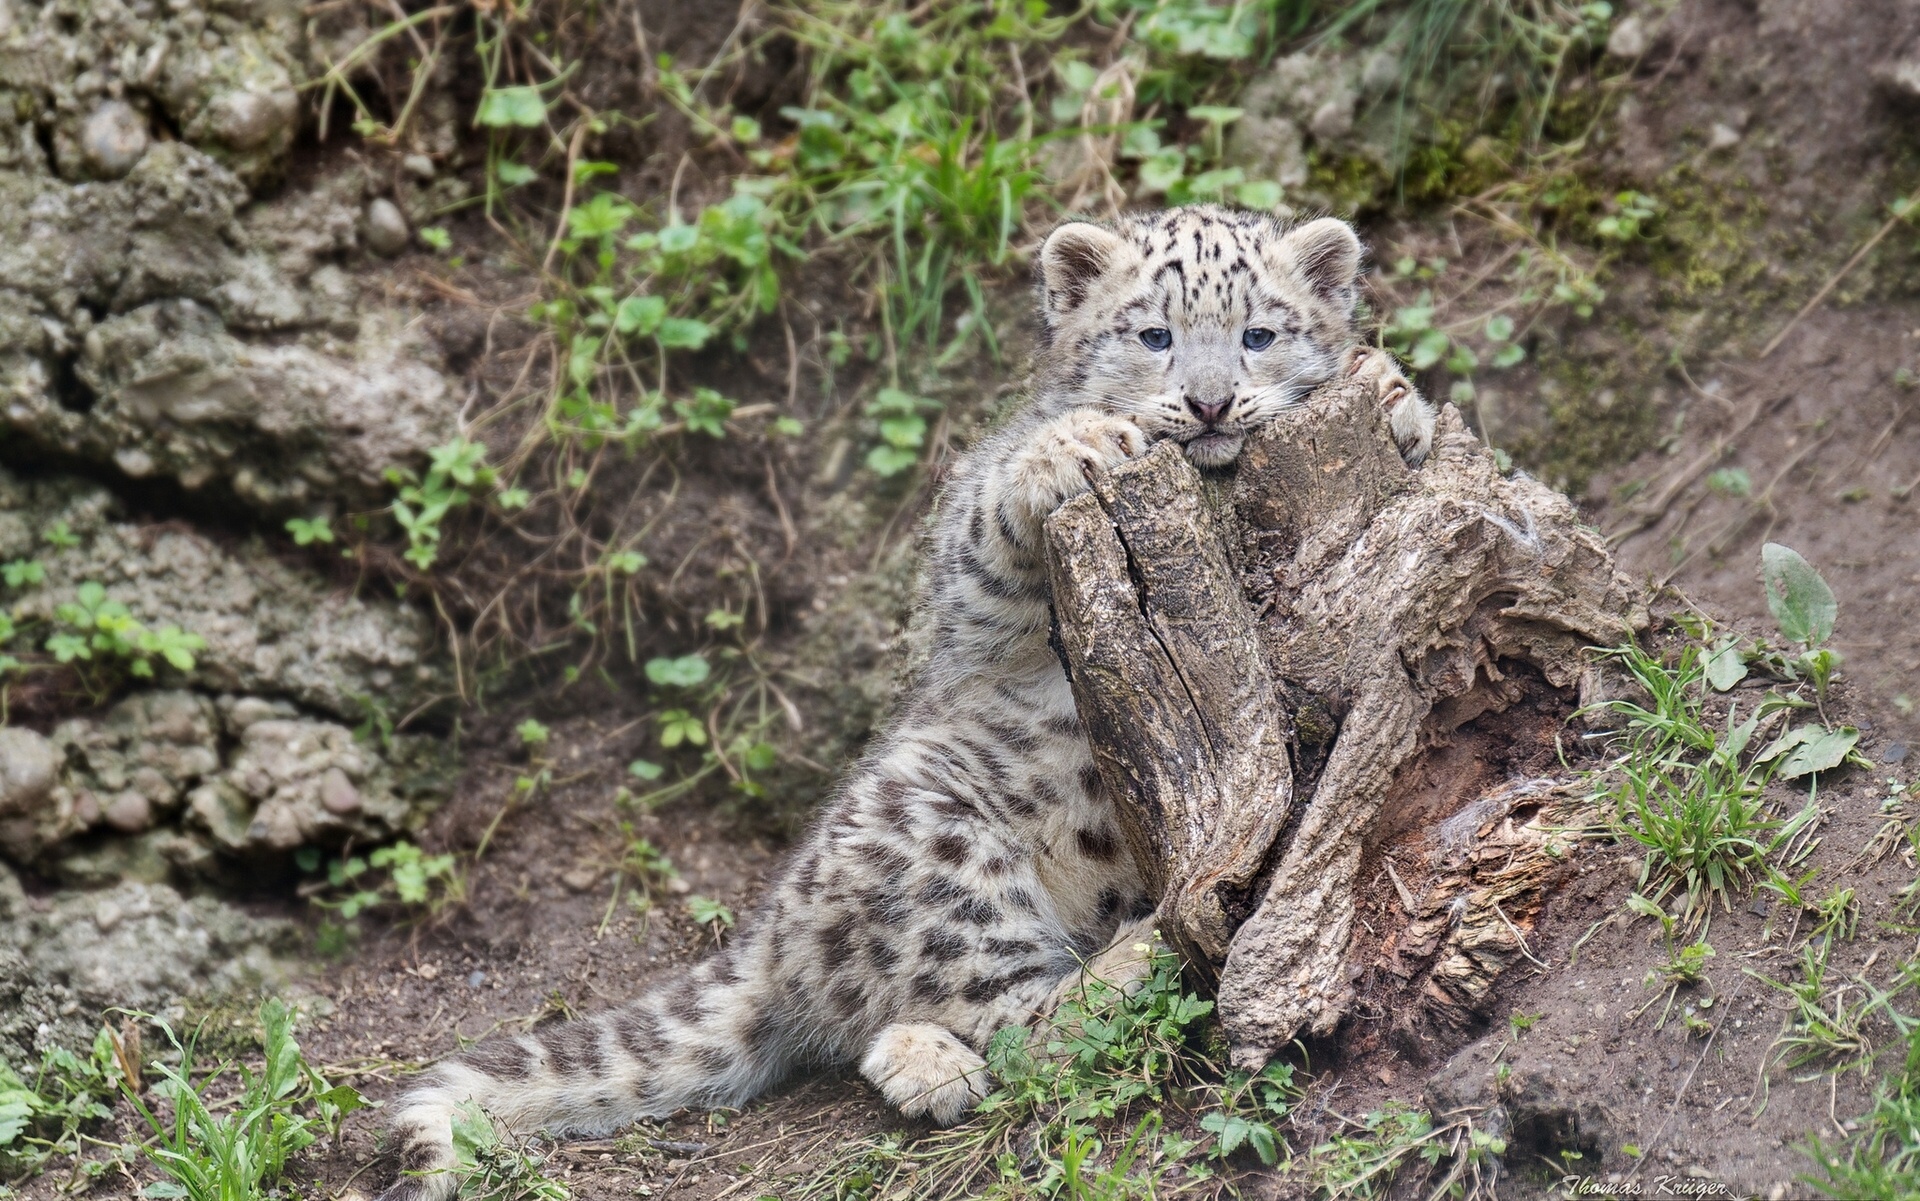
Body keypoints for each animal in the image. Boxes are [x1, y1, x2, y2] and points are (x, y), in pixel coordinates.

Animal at [376, 204, 1433, 1200]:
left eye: (1259, 333)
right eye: (1153, 334)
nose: (1209, 402)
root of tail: (770, 928)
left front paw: (1395, 398)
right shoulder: (978, 598)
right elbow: (986, 517)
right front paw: (1075, 446)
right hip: (935, 842)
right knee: (1017, 1019)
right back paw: (1133, 954)